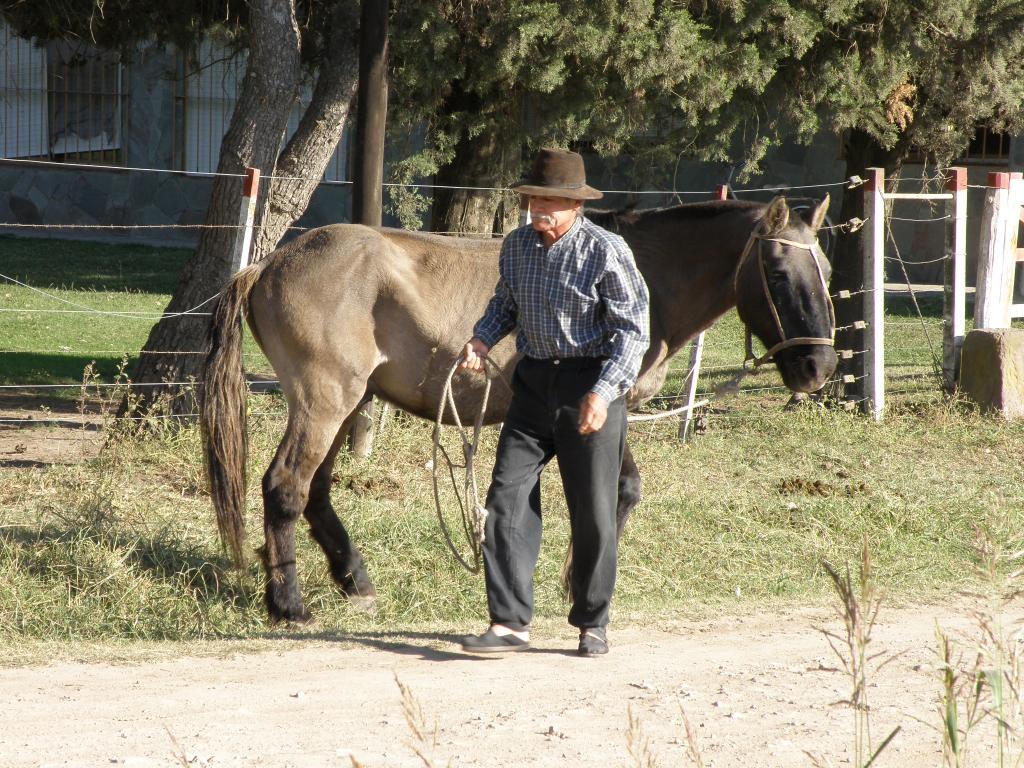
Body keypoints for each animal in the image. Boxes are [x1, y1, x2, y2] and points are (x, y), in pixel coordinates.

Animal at [201, 195, 839, 622]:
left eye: (828, 272)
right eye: (777, 271)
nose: (819, 368)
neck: (640, 274)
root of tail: (268, 264)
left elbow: (616, 492)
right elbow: (611, 493)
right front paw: (578, 586)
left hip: (345, 402)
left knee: (316, 492)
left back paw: (353, 581)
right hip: (324, 402)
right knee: (286, 486)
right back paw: (288, 605)